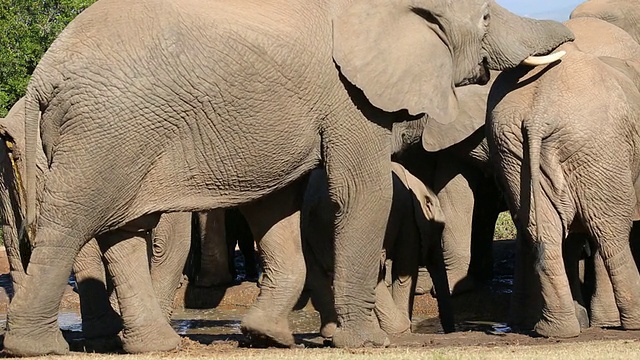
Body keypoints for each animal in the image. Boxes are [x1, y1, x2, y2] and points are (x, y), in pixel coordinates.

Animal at [302, 162, 452, 338]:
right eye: (440, 229)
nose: (449, 332)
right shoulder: (409, 219)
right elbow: (404, 271)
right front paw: (405, 331)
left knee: (315, 273)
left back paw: (332, 332)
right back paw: (396, 328)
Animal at [484, 16, 640, 338]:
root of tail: (538, 113)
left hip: (511, 150)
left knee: (543, 230)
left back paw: (556, 330)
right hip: (598, 146)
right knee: (610, 232)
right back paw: (629, 323)